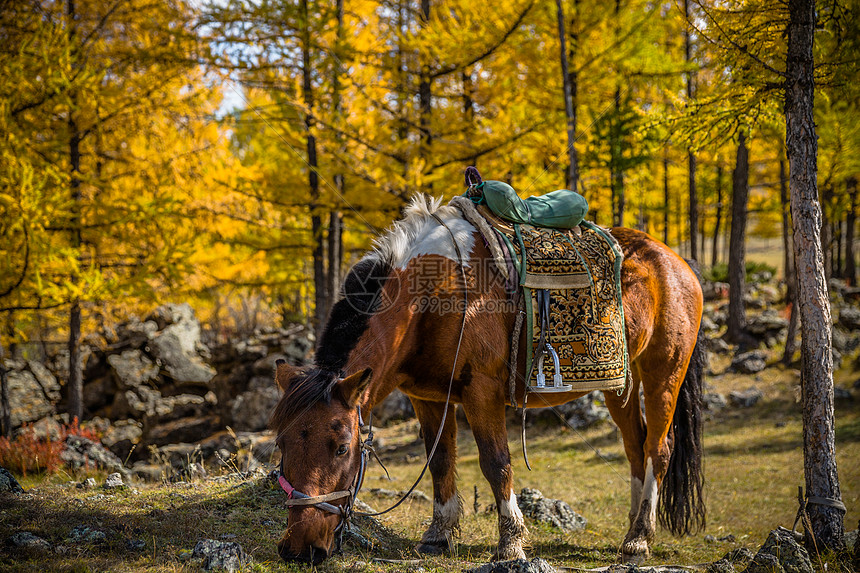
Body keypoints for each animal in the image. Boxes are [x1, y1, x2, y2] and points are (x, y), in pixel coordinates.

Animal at [270, 196, 704, 564]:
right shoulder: (428, 398)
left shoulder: (482, 392)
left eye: (343, 448)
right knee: (635, 446)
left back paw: (640, 538)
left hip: (663, 373)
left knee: (658, 449)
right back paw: (633, 527)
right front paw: (437, 535)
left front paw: (510, 542)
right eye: (282, 444)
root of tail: (675, 260)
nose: (299, 549)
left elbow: (496, 463)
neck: (432, 296)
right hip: (620, 386)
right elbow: (440, 461)